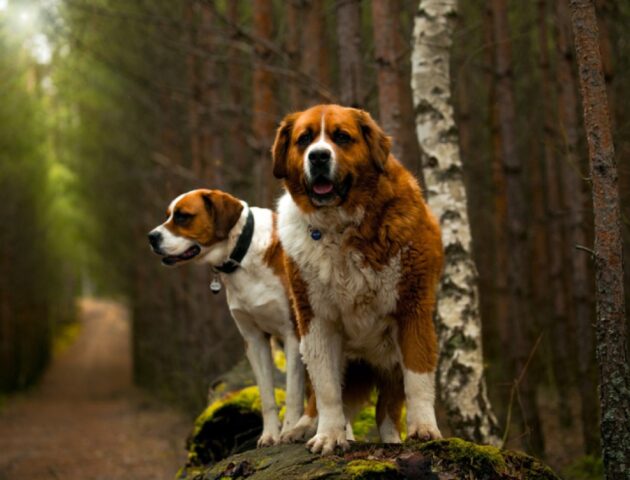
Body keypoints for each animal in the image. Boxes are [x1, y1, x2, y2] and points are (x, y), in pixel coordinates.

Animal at [148, 188, 306, 446]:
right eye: (168, 215)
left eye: (182, 216)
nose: (151, 237)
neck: (242, 255)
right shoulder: (255, 340)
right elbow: (266, 395)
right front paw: (270, 435)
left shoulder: (293, 335)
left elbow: (293, 392)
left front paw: (288, 431)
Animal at [272, 104, 444, 454]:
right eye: (304, 139)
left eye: (341, 137)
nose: (318, 156)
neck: (340, 227)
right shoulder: (316, 319)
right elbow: (326, 389)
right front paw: (328, 436)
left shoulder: (413, 308)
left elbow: (418, 376)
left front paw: (424, 429)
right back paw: (303, 427)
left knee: (386, 412)